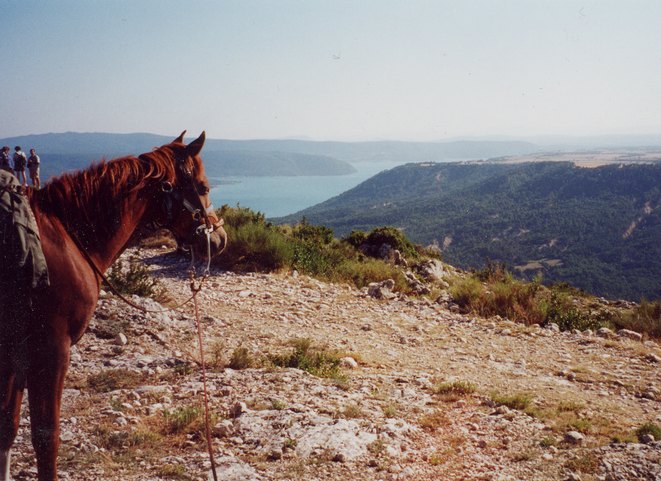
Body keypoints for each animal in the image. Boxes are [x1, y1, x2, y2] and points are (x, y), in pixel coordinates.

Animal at [0, 131, 227, 481]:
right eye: (202, 187)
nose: (219, 239)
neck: (65, 235)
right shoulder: (50, 350)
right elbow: (45, 437)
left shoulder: (15, 354)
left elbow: (7, 428)